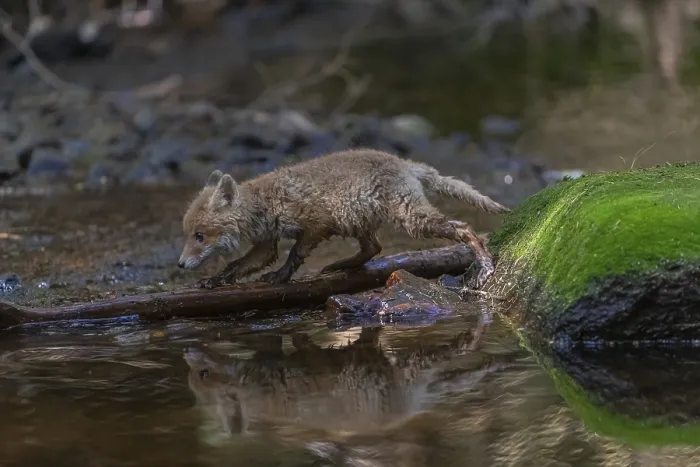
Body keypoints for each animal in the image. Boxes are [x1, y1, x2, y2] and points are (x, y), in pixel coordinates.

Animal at [177, 149, 509, 290]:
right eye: (188, 234)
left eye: (200, 236)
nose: (179, 264)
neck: (266, 203)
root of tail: (405, 163)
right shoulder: (265, 244)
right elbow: (236, 266)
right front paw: (212, 280)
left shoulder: (316, 222)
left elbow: (294, 254)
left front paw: (281, 276)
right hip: (361, 221)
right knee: (374, 248)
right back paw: (341, 265)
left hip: (410, 217)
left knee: (463, 228)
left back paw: (484, 265)